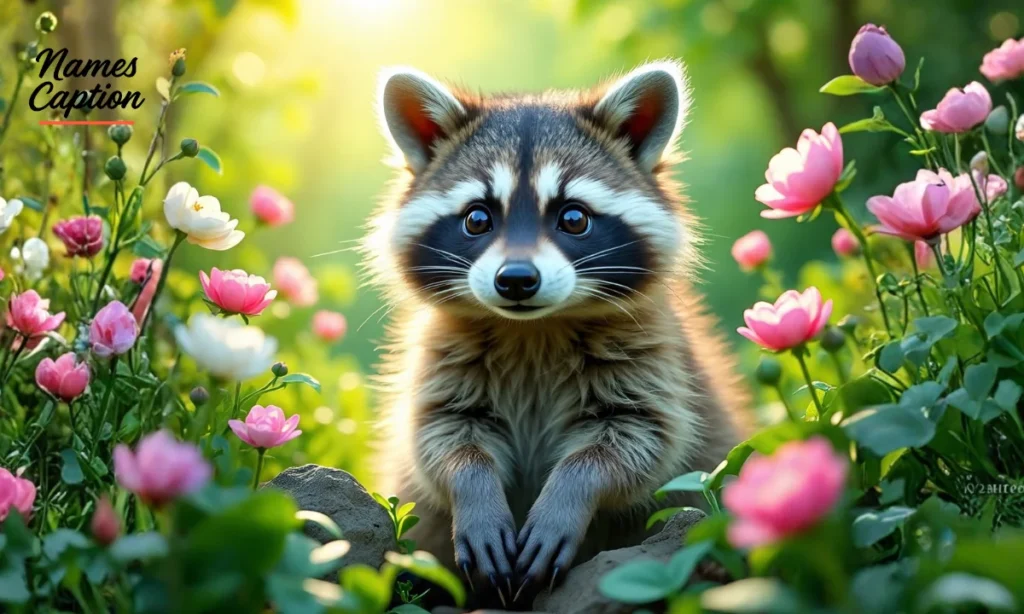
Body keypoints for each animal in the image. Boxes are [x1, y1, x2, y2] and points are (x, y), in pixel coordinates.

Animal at [363, 61, 749, 607]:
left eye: (573, 217)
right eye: (477, 218)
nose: (516, 280)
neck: (533, 329)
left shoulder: (654, 356)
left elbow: (637, 442)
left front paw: (567, 497)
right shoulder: (441, 356)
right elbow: (441, 439)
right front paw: (474, 491)